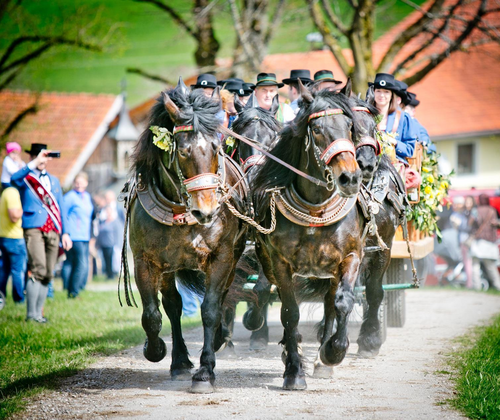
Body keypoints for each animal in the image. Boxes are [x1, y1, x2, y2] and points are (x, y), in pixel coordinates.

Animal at [120, 78, 248, 394]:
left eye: (216, 148)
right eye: (182, 151)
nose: (207, 211)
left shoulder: (222, 257)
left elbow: (211, 309)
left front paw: (205, 371)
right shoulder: (146, 261)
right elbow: (152, 315)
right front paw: (155, 350)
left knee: (221, 299)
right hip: (169, 266)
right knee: (173, 306)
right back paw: (178, 361)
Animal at [250, 82, 364, 390]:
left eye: (350, 126)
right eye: (318, 129)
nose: (350, 178)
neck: (316, 210)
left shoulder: (351, 256)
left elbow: (343, 302)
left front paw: (333, 352)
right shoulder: (281, 264)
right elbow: (290, 312)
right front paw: (293, 370)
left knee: (330, 304)